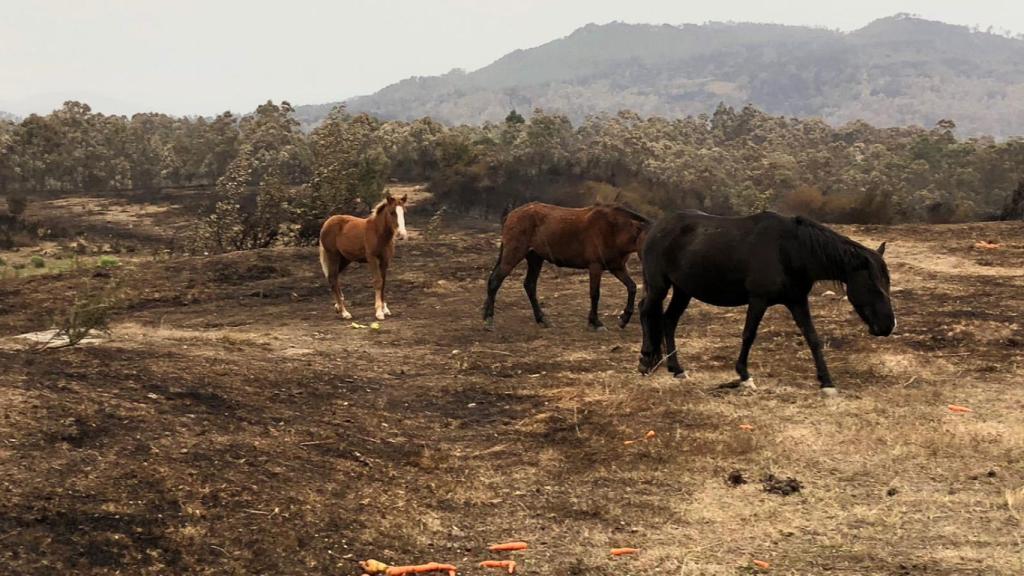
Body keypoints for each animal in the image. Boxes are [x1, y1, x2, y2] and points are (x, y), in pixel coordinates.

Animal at [481, 201, 647, 330]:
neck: (614, 228)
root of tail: (510, 215)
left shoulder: (617, 267)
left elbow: (632, 287)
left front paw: (623, 319)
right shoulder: (595, 266)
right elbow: (595, 294)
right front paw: (595, 323)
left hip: (535, 259)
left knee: (529, 285)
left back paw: (542, 319)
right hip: (513, 255)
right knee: (495, 281)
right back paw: (489, 320)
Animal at [638, 208, 897, 391]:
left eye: (887, 284)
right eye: (873, 286)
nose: (888, 326)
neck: (789, 250)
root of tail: (655, 227)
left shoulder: (797, 301)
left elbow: (813, 338)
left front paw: (827, 382)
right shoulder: (758, 299)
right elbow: (749, 335)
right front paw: (744, 375)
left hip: (683, 290)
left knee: (668, 320)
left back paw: (676, 369)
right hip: (659, 285)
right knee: (645, 311)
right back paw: (645, 361)